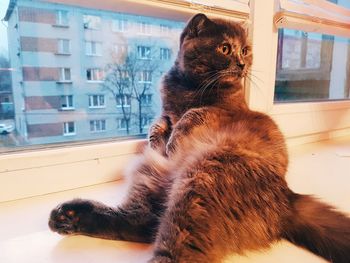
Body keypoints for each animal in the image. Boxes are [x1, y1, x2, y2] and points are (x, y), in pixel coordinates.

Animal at [48, 13, 350, 263]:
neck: (189, 86)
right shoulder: (167, 111)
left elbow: (194, 114)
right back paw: (68, 217)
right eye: (225, 48)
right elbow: (160, 122)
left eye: (245, 50)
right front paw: (158, 141)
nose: (242, 62)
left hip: (204, 179)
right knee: (143, 221)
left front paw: (173, 141)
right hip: (152, 176)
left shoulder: (224, 111)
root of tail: (288, 199)